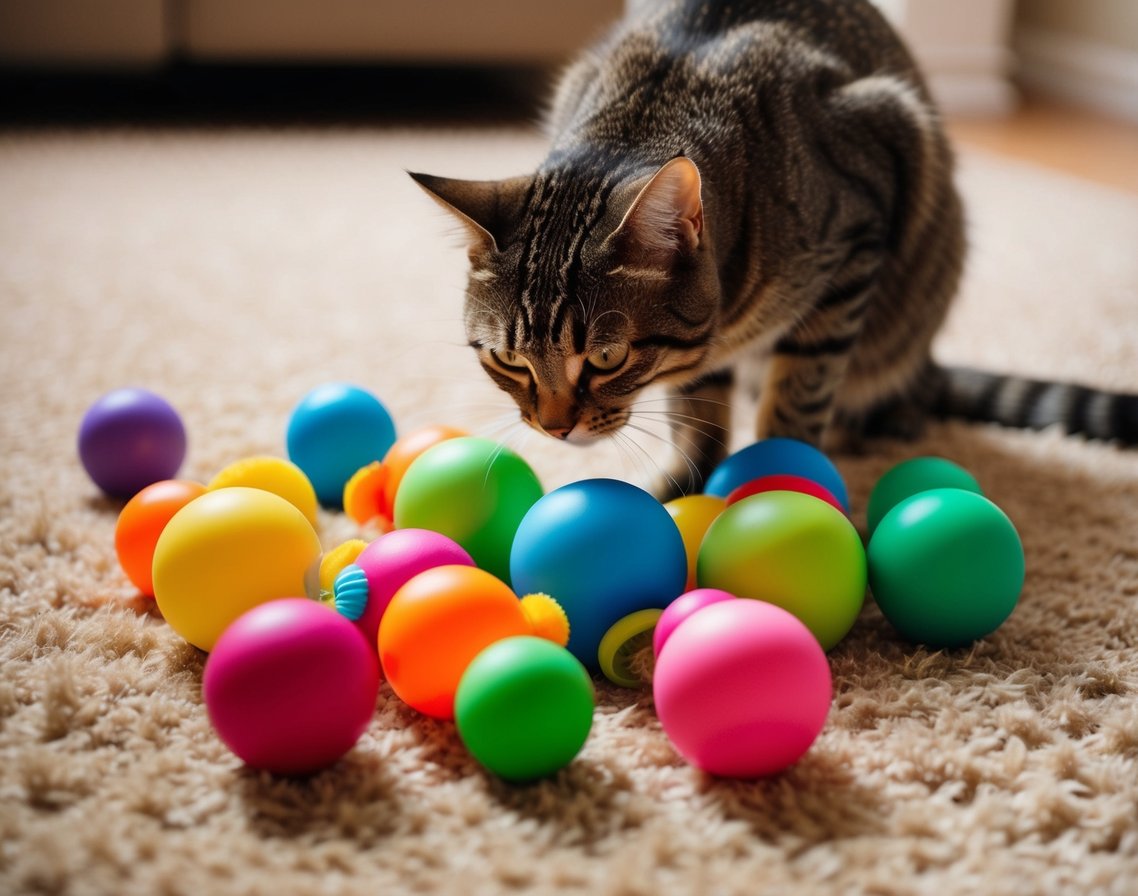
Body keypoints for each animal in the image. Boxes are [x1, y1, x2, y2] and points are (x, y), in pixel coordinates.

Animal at [414, 0, 1133, 498]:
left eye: (608, 358)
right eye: (508, 361)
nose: (554, 429)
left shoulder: (856, 238)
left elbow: (799, 397)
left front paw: (787, 488)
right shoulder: (699, 360)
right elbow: (696, 413)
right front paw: (684, 486)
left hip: (927, 263)